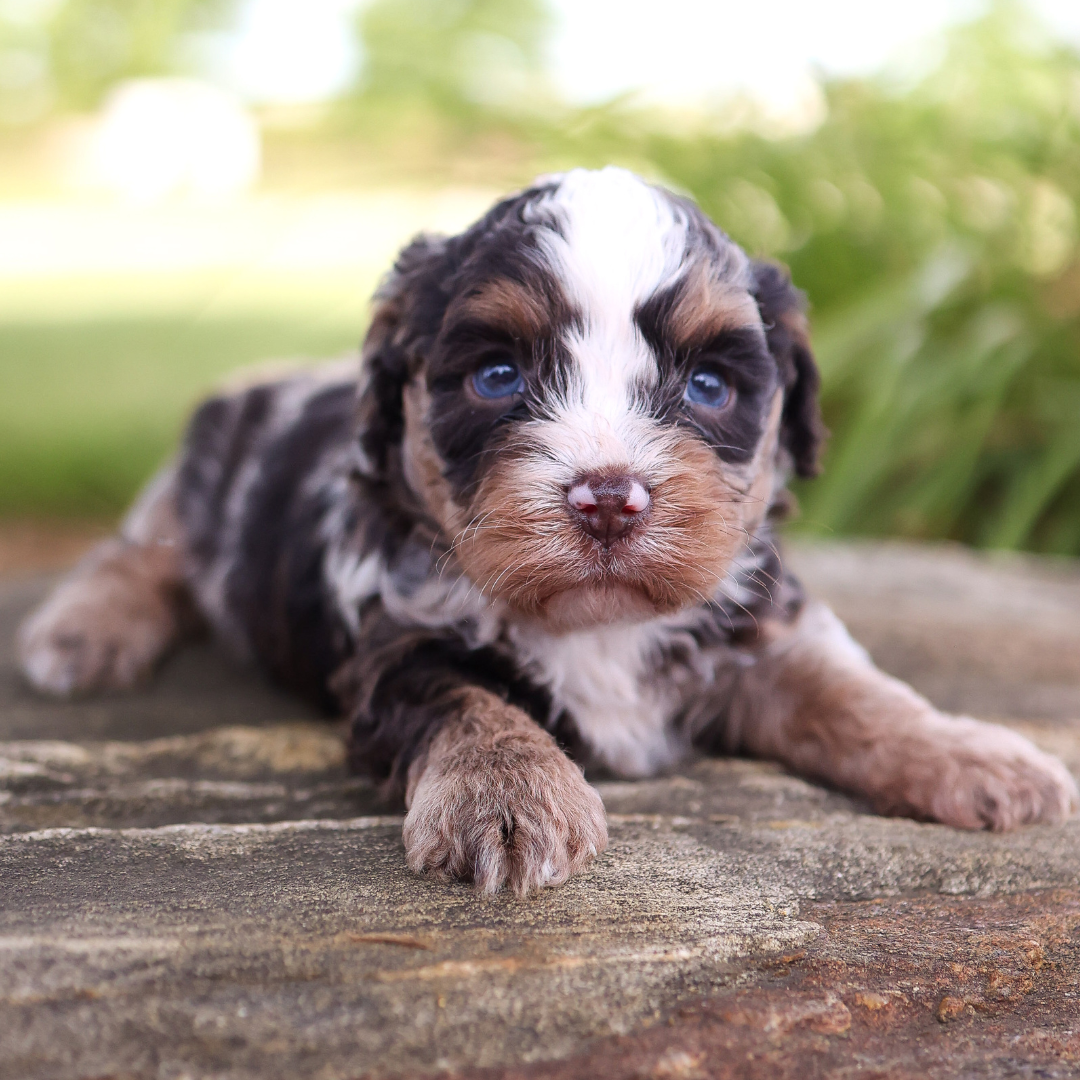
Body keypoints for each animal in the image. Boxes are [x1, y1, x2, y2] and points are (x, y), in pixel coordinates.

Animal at [19, 168, 1080, 894]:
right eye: (498, 377)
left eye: (709, 386)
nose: (609, 496)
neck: (594, 623)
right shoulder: (392, 644)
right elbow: (469, 701)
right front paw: (508, 800)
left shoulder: (758, 626)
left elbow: (856, 691)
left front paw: (976, 757)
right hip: (192, 483)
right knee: (140, 551)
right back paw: (82, 633)